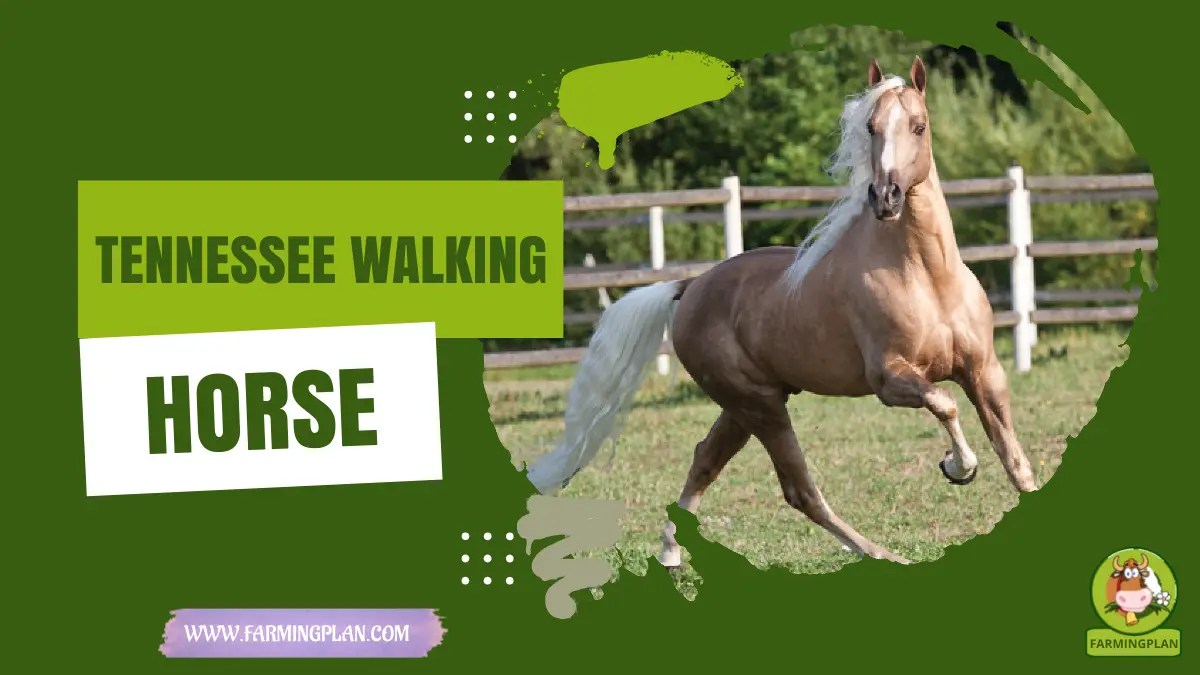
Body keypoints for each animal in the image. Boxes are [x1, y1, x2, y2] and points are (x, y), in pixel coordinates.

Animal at [524, 56, 1039, 567]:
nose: (886, 196)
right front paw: (958, 467)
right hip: (761, 406)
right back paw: (883, 554)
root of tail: (690, 288)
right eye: (870, 127)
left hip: (745, 406)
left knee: (705, 459)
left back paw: (671, 553)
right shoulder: (890, 380)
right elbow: (945, 404)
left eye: (919, 125)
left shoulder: (984, 371)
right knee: (799, 491)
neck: (926, 277)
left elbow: (1014, 459)